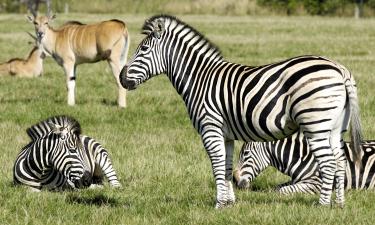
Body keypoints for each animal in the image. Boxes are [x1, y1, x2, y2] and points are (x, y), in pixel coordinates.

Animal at [234, 132, 375, 193]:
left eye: (246, 154)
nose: (235, 181)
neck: (303, 156)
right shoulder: (297, 180)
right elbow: (276, 188)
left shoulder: (316, 184)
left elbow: (282, 191)